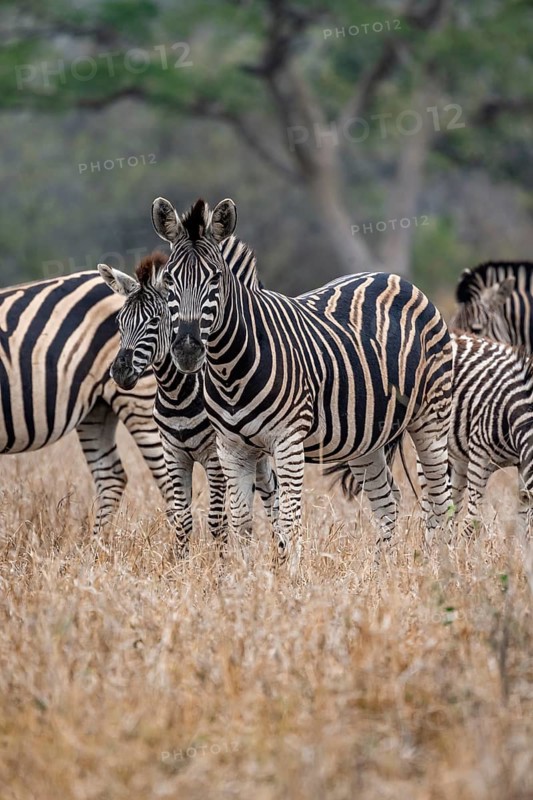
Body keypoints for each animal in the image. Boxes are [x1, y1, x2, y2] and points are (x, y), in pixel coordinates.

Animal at [98, 241, 279, 556]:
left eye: (155, 321)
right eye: (119, 322)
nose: (120, 372)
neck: (176, 394)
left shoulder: (214, 458)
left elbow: (217, 521)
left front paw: (221, 564)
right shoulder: (173, 455)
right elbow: (182, 520)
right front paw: (180, 564)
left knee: (272, 494)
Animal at [151, 196, 454, 565]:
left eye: (216, 278)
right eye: (169, 279)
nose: (187, 349)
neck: (229, 369)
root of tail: (397, 278)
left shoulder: (287, 440)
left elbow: (289, 517)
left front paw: (290, 573)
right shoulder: (231, 448)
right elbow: (241, 521)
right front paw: (243, 574)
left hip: (431, 418)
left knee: (438, 498)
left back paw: (438, 564)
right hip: (367, 437)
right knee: (388, 501)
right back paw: (382, 567)